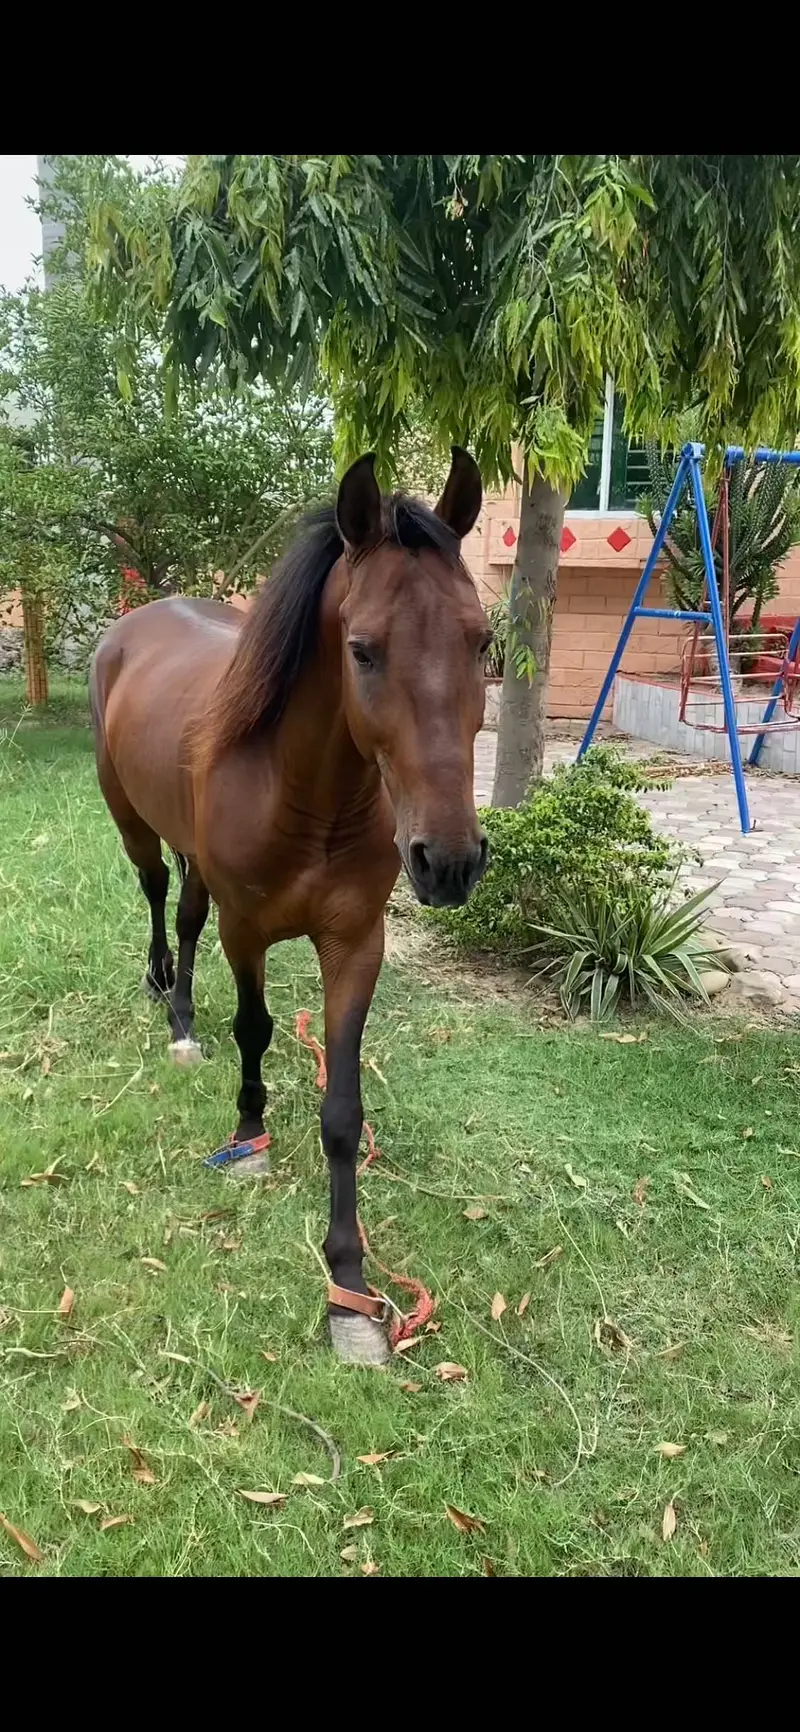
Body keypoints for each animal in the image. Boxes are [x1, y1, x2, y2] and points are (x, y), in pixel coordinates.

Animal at [89, 448, 490, 1364]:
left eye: (483, 641)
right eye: (362, 650)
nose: (449, 862)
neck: (307, 795)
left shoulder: (355, 943)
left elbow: (342, 1109)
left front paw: (350, 1284)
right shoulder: (250, 933)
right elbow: (256, 1029)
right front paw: (246, 1138)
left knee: (186, 914)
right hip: (133, 827)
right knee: (161, 901)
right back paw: (173, 1011)